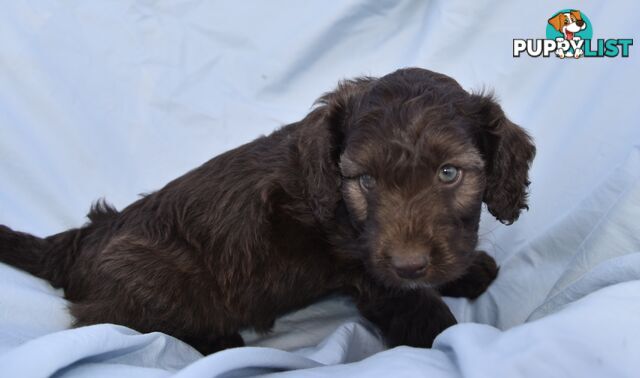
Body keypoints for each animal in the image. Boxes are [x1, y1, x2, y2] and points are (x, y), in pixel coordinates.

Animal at [0, 67, 536, 354]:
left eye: (449, 173)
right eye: (366, 181)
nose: (409, 263)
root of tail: (83, 239)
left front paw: (468, 272)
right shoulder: (372, 273)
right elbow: (422, 311)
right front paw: (453, 337)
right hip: (153, 276)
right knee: (113, 320)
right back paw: (216, 342)